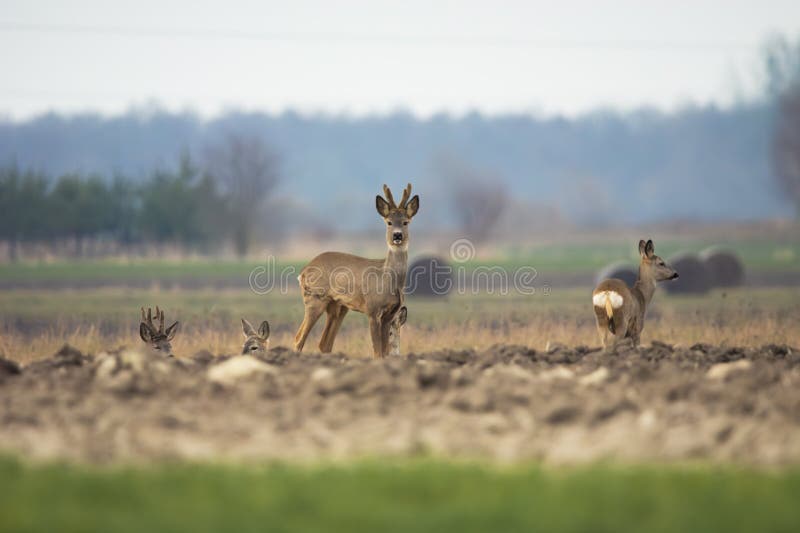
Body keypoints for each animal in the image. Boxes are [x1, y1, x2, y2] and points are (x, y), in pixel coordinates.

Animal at [294, 183, 418, 358]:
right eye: (389, 222)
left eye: (406, 222)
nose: (397, 236)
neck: (388, 280)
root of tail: (303, 272)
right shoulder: (372, 310)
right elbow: (377, 352)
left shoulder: (389, 315)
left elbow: (384, 352)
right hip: (314, 298)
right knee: (299, 339)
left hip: (338, 307)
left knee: (324, 344)